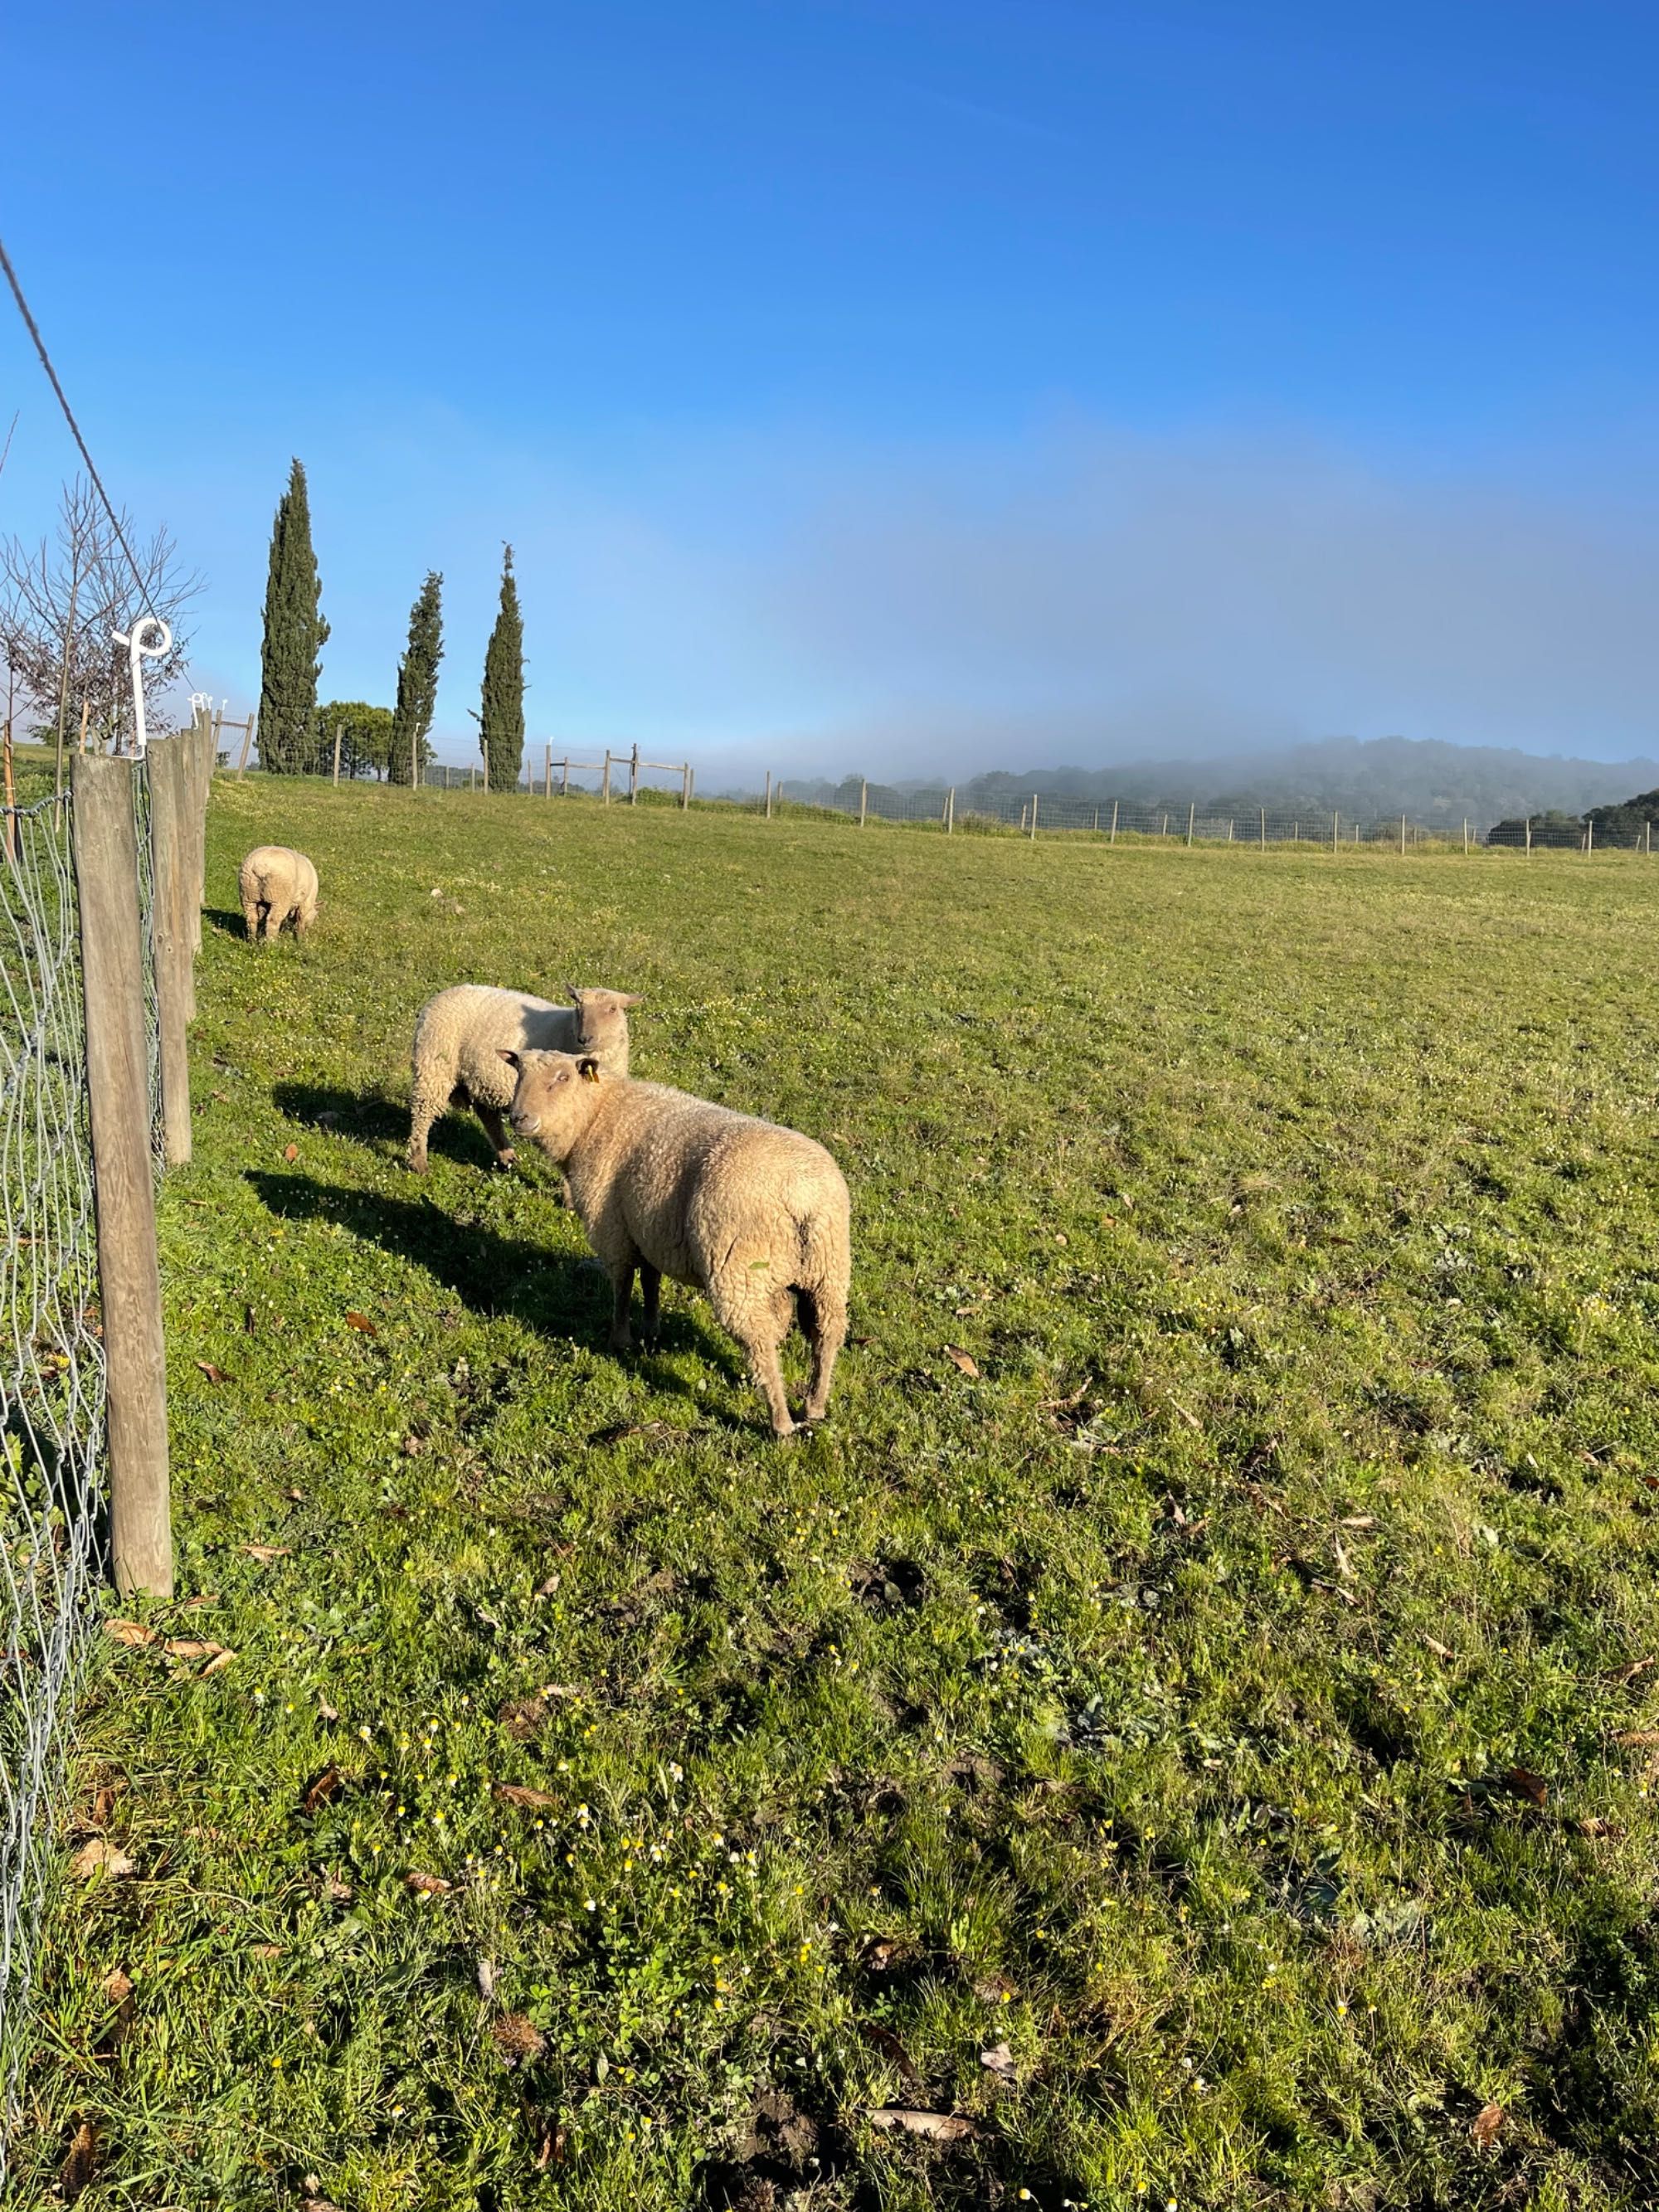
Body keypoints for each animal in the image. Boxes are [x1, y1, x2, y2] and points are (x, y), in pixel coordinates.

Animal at [409, 986, 641, 1176]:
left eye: (613, 1009)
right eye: (579, 1008)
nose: (585, 1038)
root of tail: (439, 996)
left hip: (482, 1080)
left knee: (487, 1115)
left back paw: (507, 1157)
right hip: (434, 1067)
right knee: (422, 1113)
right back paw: (419, 1161)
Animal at [499, 1048, 849, 1441]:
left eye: (563, 1078)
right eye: (518, 1072)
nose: (518, 1117)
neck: (595, 1116)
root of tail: (801, 1194)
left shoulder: (613, 1229)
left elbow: (623, 1285)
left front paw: (620, 1339)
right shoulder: (650, 1230)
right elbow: (651, 1280)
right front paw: (651, 1330)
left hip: (738, 1272)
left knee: (760, 1342)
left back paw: (781, 1422)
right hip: (827, 1269)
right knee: (826, 1333)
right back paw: (814, 1406)